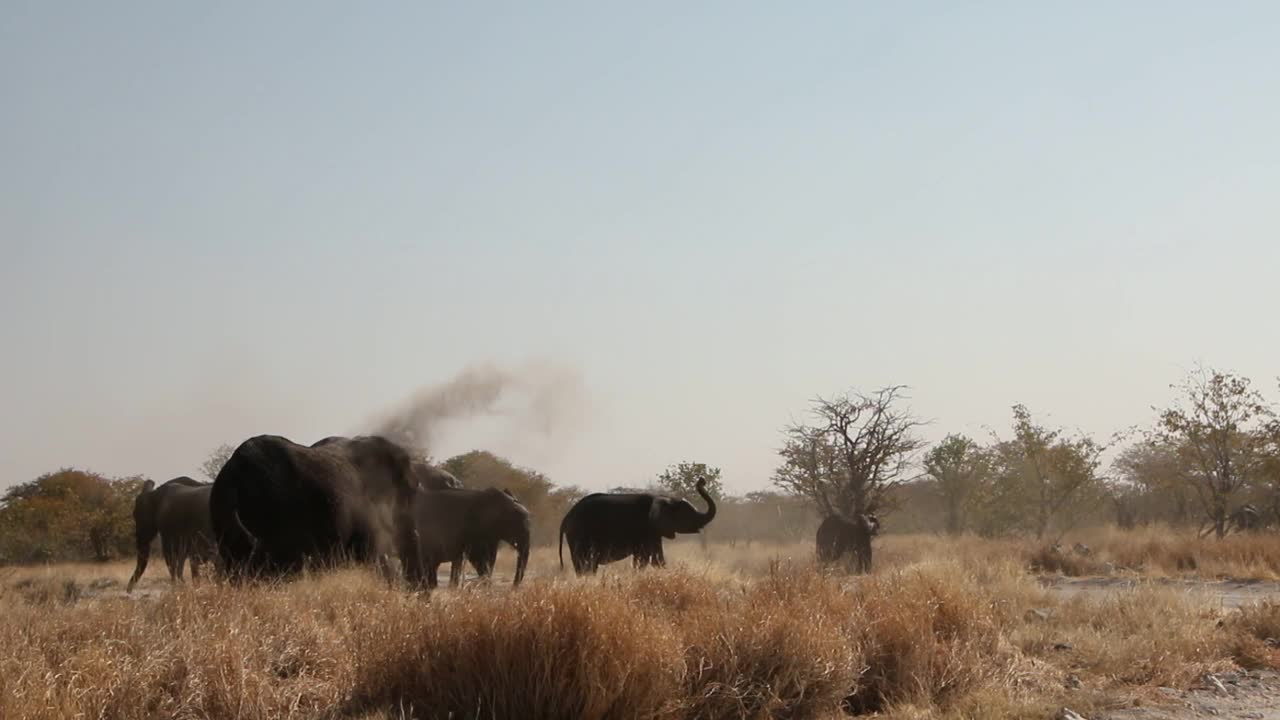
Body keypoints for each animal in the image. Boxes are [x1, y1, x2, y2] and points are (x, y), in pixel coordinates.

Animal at [560, 476, 721, 571]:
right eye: (689, 514)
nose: (702, 480)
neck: (665, 499)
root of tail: (565, 519)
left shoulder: (655, 532)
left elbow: (657, 561)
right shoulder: (646, 529)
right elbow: (643, 560)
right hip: (579, 534)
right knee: (585, 564)